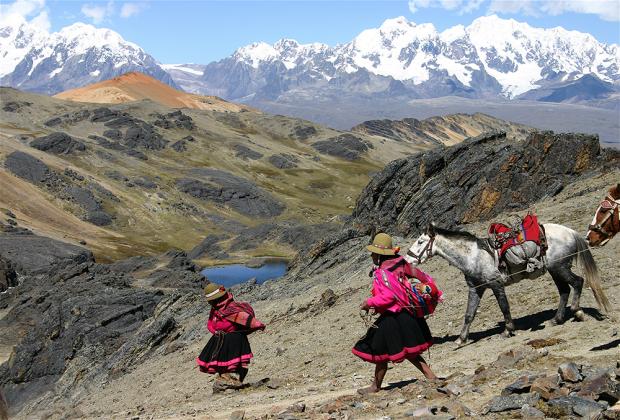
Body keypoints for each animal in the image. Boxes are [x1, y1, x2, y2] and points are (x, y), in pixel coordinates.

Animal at [404, 223, 612, 344]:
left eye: (420, 241)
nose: (407, 259)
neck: (473, 256)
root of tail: (570, 232)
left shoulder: (496, 284)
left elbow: (504, 307)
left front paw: (508, 330)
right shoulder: (476, 288)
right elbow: (469, 314)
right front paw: (461, 339)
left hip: (559, 267)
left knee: (577, 282)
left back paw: (577, 312)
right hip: (555, 269)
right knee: (564, 290)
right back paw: (556, 319)